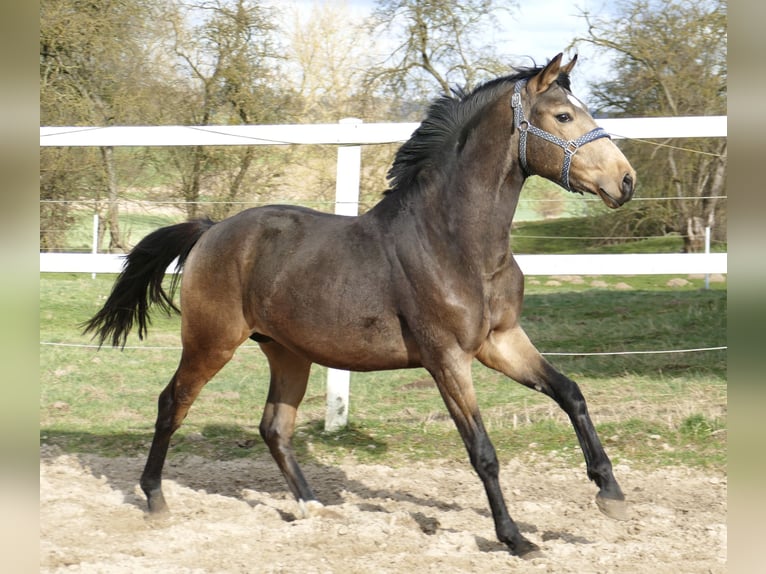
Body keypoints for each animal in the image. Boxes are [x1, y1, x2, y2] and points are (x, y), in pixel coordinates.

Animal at [84, 53, 635, 558]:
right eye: (563, 116)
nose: (626, 181)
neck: (456, 242)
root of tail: (211, 229)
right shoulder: (447, 358)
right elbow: (482, 450)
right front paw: (515, 538)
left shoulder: (500, 341)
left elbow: (570, 393)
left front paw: (611, 495)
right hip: (210, 342)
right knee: (171, 404)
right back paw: (155, 500)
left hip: (287, 353)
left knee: (274, 428)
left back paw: (315, 508)